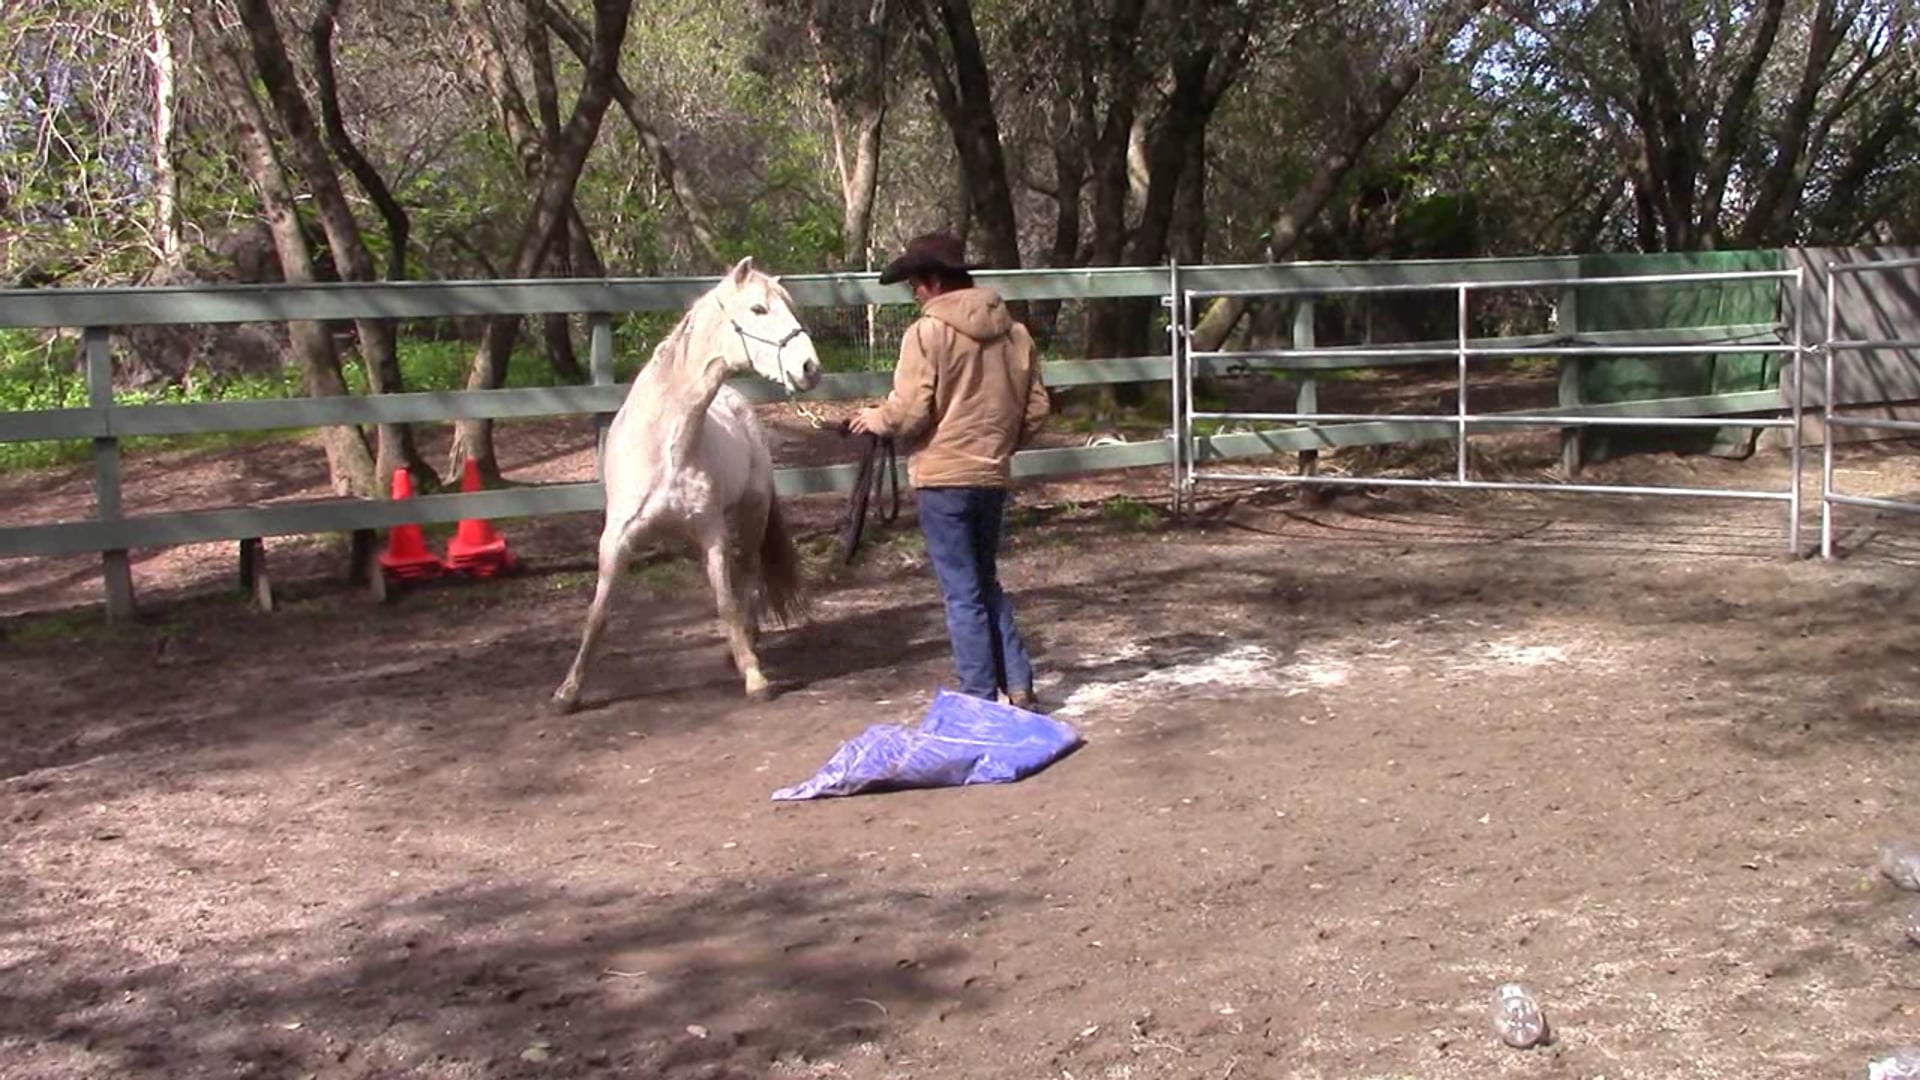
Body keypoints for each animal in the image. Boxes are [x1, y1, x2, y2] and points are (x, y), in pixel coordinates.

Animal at [550, 256, 823, 712]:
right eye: (758, 309)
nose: (810, 369)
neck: (665, 446)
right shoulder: (616, 539)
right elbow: (598, 613)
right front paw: (568, 690)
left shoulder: (712, 533)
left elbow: (727, 604)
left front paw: (754, 677)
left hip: (751, 514)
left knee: (748, 575)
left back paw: (748, 644)